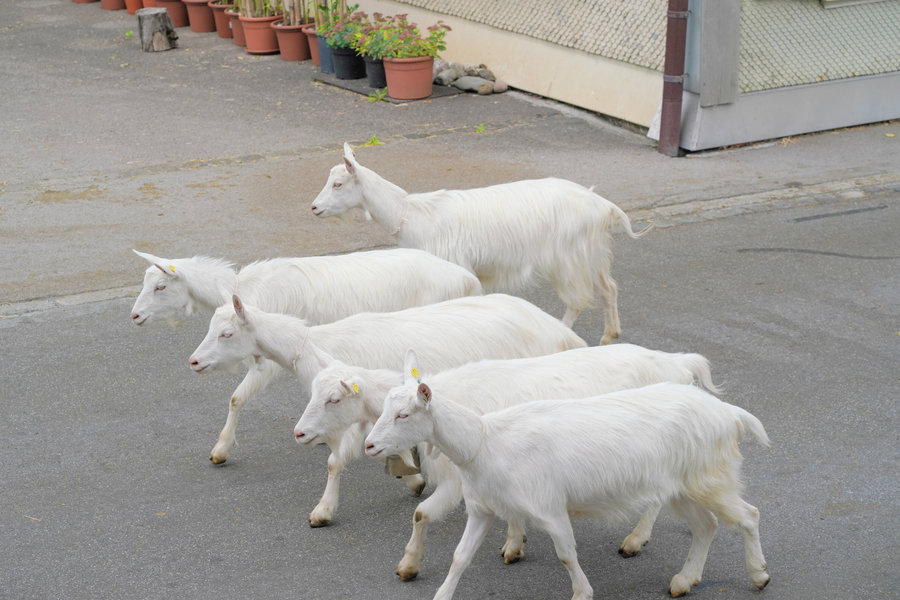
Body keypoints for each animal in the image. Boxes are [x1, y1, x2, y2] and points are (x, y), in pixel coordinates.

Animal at [130, 248, 482, 464]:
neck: (246, 288)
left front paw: (221, 448)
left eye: (160, 286)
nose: (134, 316)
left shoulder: (267, 362)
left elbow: (236, 397)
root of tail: (466, 278)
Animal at [189, 294, 586, 508]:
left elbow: (337, 459)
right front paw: (412, 478)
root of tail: (558, 330)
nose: (193, 361)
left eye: (226, 333)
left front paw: (325, 509)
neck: (313, 346)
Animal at [296, 345, 722, 579]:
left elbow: (422, 514)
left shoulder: (461, 478)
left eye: (333, 399)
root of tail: (679, 363)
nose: (299, 433)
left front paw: (410, 564)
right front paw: (515, 543)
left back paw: (635, 539)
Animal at [310, 143, 649, 342]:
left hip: (567, 257)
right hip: (592, 253)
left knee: (578, 299)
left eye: (338, 184)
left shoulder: (455, 269)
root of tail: (603, 206)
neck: (412, 214)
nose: (314, 208)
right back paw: (610, 335)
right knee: (609, 288)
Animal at [365, 363, 770, 600]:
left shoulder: (549, 507)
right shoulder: (482, 509)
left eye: (403, 414)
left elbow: (566, 554)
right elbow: (459, 557)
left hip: (710, 477)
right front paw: (440, 592)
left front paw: (582, 592)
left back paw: (758, 575)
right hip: (682, 487)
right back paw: (684, 580)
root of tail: (729, 413)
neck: (485, 440)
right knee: (707, 525)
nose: (369, 445)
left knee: (748, 515)